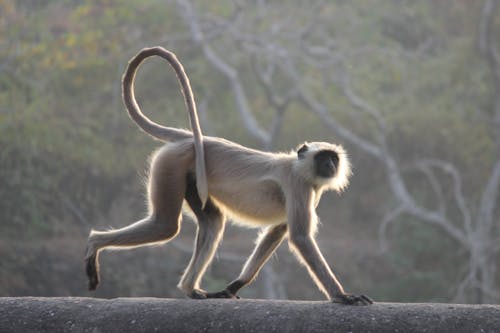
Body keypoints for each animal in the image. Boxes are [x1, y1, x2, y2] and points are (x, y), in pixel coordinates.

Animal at [85, 45, 372, 304]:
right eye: (323, 158)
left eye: (333, 158)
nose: (331, 166)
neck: (297, 165)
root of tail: (190, 138)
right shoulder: (298, 184)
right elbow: (300, 237)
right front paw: (342, 296)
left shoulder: (312, 189)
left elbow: (277, 230)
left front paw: (234, 286)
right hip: (171, 163)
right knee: (165, 226)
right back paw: (94, 243)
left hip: (189, 174)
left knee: (212, 221)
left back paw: (191, 290)